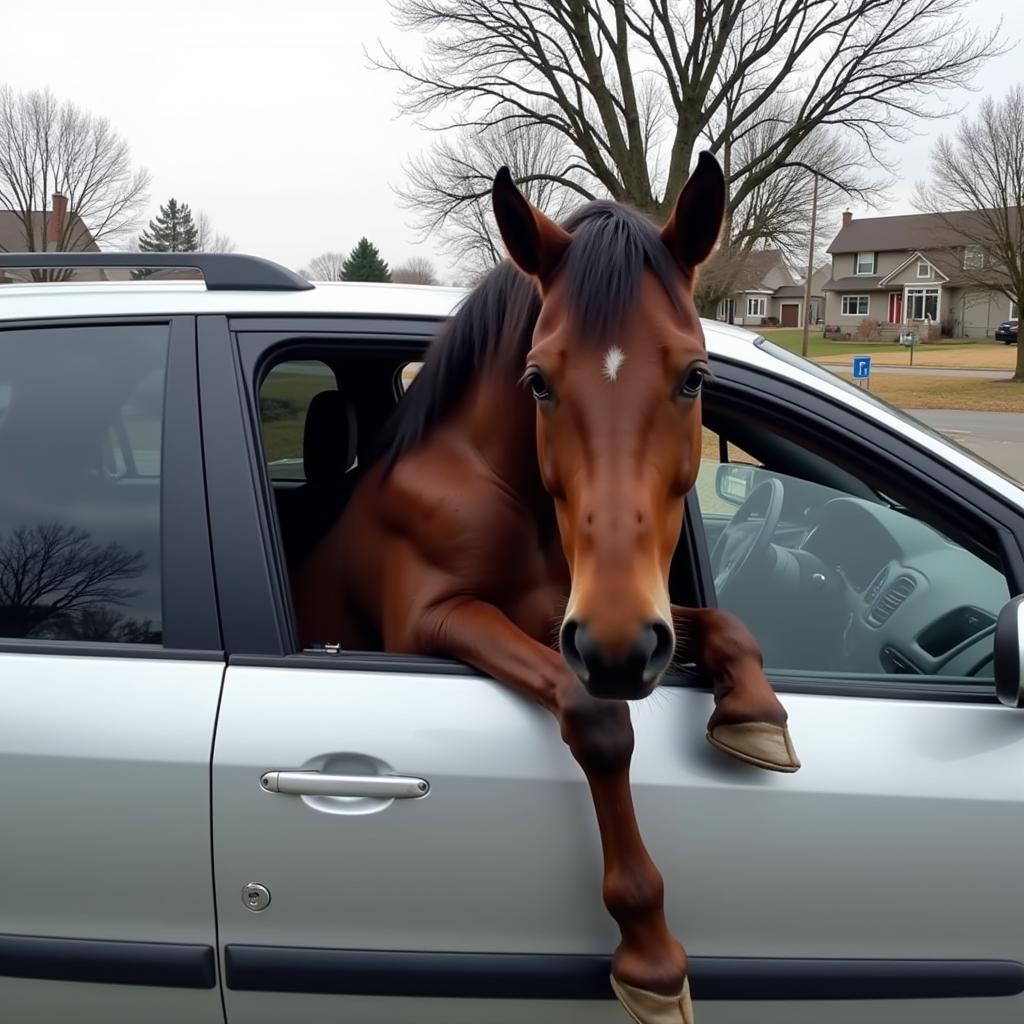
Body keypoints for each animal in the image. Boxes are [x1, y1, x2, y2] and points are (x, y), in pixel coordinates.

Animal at [292, 153, 794, 1024]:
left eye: (694, 376)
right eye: (538, 382)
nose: (619, 648)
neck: (495, 489)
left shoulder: (591, 615)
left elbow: (726, 625)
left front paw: (755, 713)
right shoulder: (443, 621)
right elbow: (596, 717)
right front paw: (650, 953)